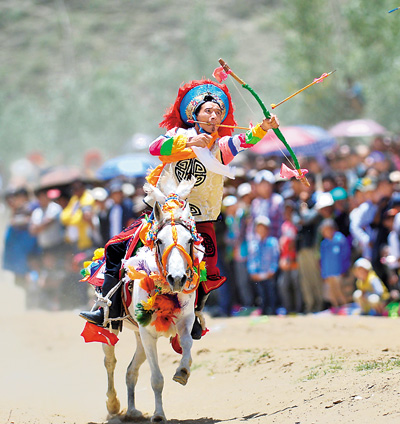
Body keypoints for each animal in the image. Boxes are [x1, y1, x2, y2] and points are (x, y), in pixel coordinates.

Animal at [101, 174, 205, 422]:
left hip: (139, 335)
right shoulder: (148, 333)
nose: (177, 278)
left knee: (131, 371)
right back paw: (113, 405)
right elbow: (156, 379)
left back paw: (132, 410)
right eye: (159, 241)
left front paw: (183, 371)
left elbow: (187, 344)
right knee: (110, 362)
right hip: (112, 327)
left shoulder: (185, 320)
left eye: (189, 241)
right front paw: (158, 415)